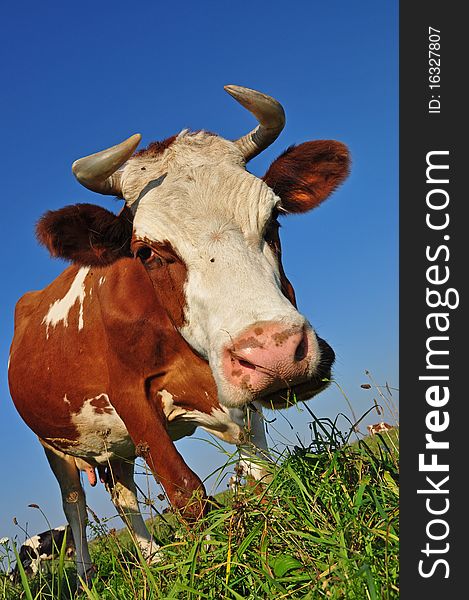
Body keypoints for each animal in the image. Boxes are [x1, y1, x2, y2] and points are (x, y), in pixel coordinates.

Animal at [8, 82, 348, 584]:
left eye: (274, 220)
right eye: (146, 252)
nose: (275, 354)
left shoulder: (239, 397)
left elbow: (261, 475)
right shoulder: (131, 398)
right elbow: (185, 492)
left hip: (114, 447)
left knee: (123, 495)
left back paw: (153, 560)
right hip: (56, 446)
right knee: (76, 507)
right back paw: (88, 576)